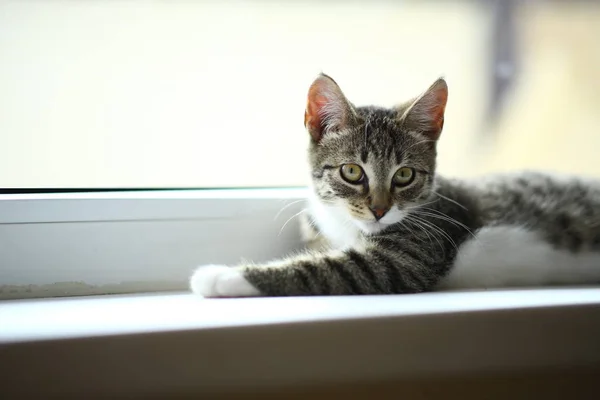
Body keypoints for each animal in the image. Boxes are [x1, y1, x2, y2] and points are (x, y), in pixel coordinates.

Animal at [190, 73, 600, 296]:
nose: (379, 209)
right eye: (351, 172)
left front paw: (221, 276)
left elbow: (331, 269)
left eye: (404, 175)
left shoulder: (413, 253)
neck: (345, 222)